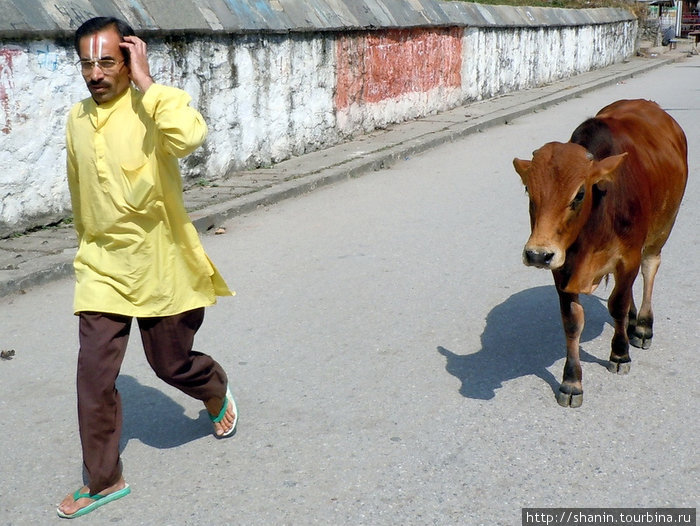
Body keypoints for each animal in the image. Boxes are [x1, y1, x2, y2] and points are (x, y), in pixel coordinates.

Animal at [512, 101, 688, 410]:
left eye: (579, 194)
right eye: (528, 190)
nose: (537, 254)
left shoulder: (628, 258)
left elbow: (617, 304)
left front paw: (620, 353)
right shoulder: (562, 269)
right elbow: (572, 322)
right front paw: (571, 382)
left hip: (662, 228)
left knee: (649, 269)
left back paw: (642, 326)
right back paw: (632, 322)